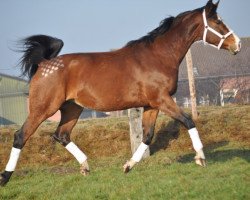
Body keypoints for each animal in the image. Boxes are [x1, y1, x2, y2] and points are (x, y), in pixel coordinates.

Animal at [0, 0, 241, 186]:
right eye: (218, 22)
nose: (237, 44)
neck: (159, 56)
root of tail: (44, 64)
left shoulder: (151, 105)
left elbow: (147, 136)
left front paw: (127, 166)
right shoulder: (162, 100)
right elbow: (188, 121)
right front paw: (200, 157)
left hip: (72, 109)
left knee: (61, 135)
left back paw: (85, 166)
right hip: (44, 108)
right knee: (21, 136)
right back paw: (5, 177)